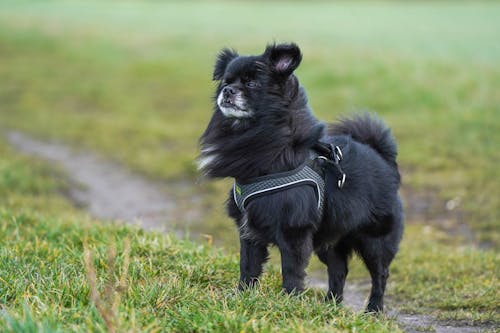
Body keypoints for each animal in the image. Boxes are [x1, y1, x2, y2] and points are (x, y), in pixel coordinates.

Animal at [198, 42, 402, 312]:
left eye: (252, 83)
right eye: (225, 81)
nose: (228, 90)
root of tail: (383, 159)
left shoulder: (293, 232)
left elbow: (292, 271)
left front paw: (288, 303)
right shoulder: (249, 231)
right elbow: (248, 267)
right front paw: (242, 297)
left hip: (374, 241)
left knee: (380, 275)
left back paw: (373, 310)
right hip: (330, 240)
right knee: (339, 270)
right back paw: (330, 306)